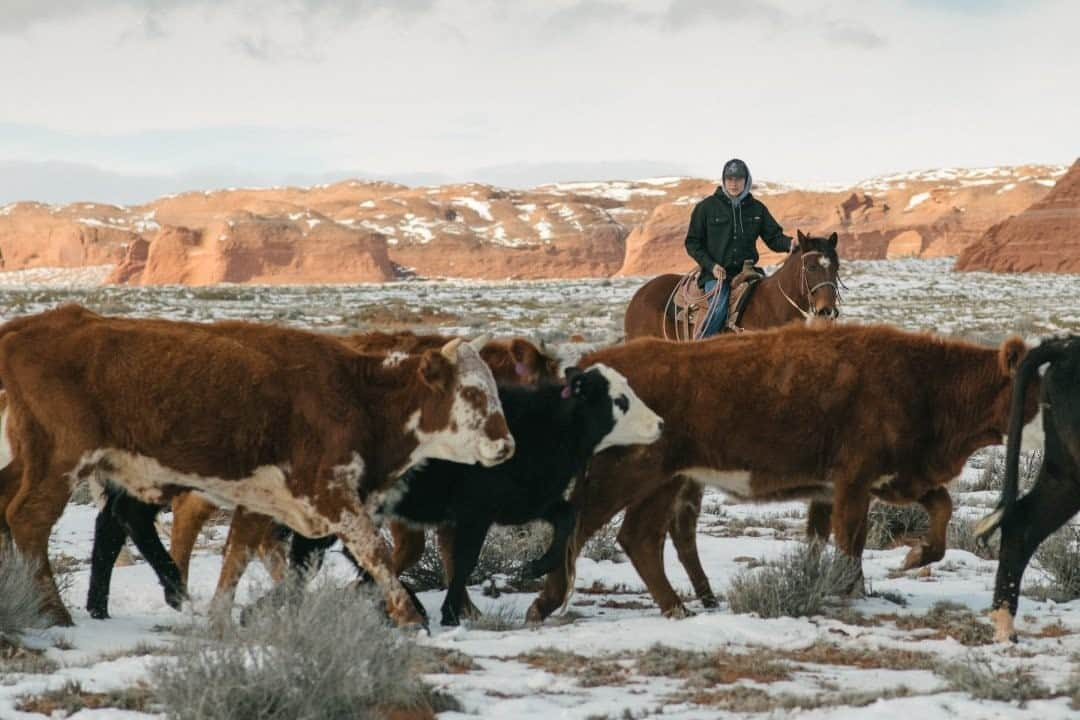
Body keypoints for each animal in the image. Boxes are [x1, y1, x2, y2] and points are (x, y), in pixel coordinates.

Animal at [0, 304, 511, 626]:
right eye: (472, 392)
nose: (506, 445)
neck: (359, 394)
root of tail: (26, 328)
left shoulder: (266, 499)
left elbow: (242, 555)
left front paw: (228, 615)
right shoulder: (330, 493)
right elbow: (373, 551)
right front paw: (408, 616)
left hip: (29, 459)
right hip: (59, 458)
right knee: (29, 518)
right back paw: (54, 613)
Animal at [522, 323, 1036, 621]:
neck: (925, 381)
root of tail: (595, 364)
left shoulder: (894, 479)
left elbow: (941, 510)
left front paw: (913, 558)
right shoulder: (854, 483)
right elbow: (851, 542)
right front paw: (851, 591)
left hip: (665, 482)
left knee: (640, 538)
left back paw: (679, 608)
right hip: (629, 477)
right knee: (591, 529)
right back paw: (545, 605)